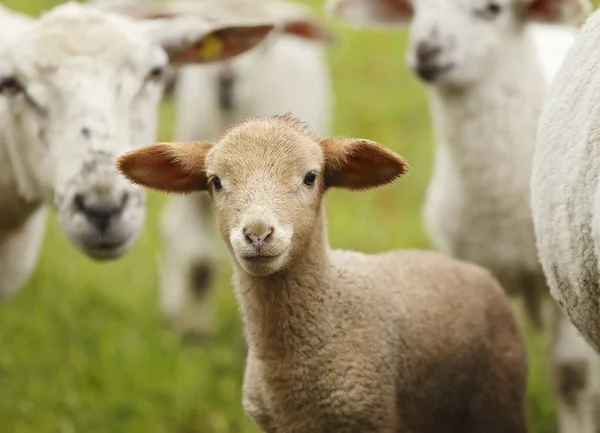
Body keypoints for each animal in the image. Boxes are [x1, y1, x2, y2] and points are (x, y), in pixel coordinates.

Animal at [117, 114, 528, 432]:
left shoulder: (370, 415)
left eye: (310, 177)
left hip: (499, 397)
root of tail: (466, 267)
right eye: (215, 181)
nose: (257, 234)